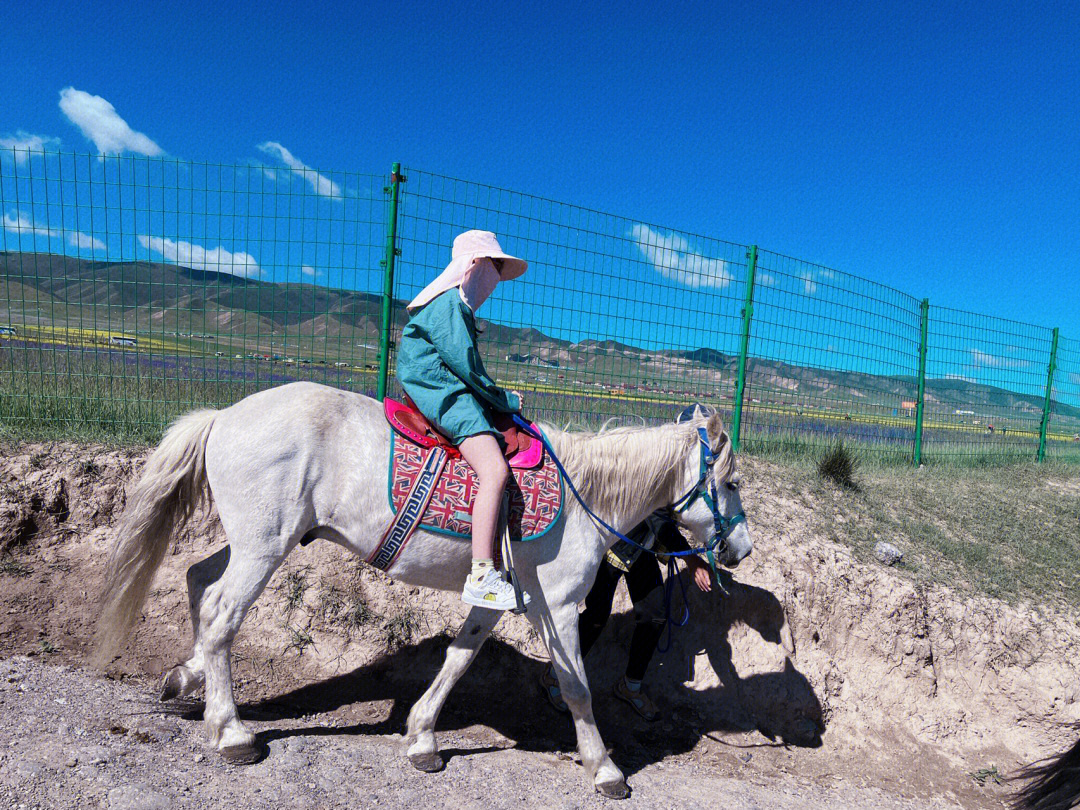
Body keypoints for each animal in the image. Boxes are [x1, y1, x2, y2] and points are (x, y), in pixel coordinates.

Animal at [97, 382, 751, 799]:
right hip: (264, 546)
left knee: (198, 580)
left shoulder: (498, 602)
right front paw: (605, 770)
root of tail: (225, 414)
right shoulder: (560, 608)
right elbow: (578, 690)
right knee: (221, 611)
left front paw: (422, 740)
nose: (740, 551)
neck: (587, 494)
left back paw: (186, 680)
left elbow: (459, 660)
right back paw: (231, 730)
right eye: (733, 482)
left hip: (257, 542)